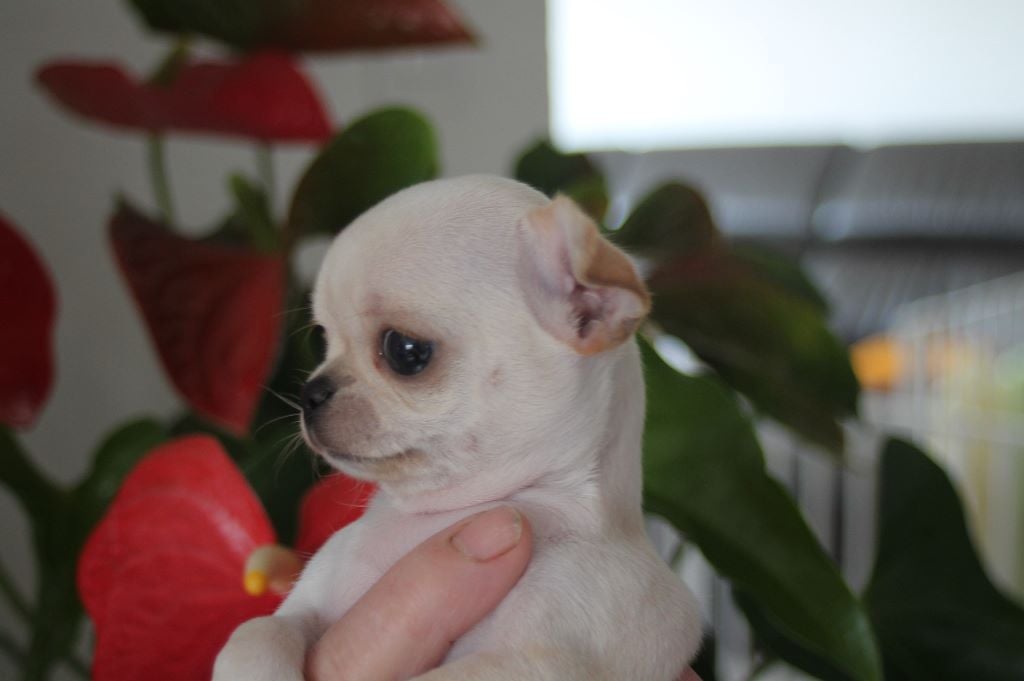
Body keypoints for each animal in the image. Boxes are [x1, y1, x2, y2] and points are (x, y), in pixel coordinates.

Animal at [213, 175, 701, 680]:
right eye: (321, 339)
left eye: (406, 351)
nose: (310, 393)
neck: (436, 518)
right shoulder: (307, 604)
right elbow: (259, 631)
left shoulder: (534, 662)